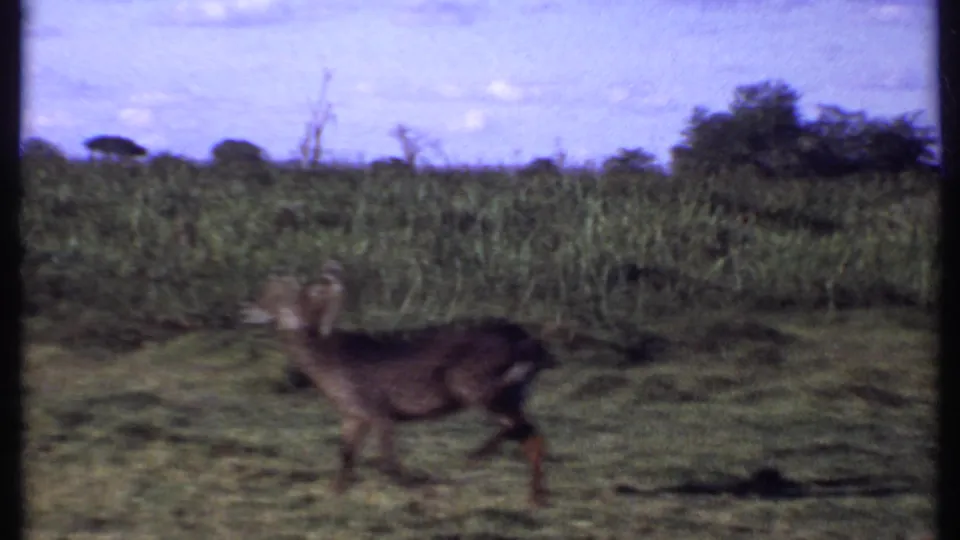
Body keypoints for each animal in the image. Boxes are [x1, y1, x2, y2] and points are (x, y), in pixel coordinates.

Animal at [239, 261, 558, 507]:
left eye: (275, 297)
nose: (245, 309)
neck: (328, 358)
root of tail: (533, 345)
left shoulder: (377, 410)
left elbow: (387, 461)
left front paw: (414, 485)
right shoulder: (353, 415)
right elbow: (346, 457)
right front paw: (334, 492)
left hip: (477, 387)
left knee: (522, 430)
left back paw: (477, 458)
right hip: (512, 392)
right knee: (531, 436)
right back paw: (534, 496)